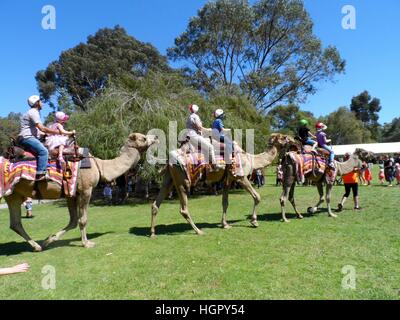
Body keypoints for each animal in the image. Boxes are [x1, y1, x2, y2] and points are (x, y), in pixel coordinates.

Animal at [1, 133, 158, 252]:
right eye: (144, 138)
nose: (156, 136)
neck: (99, 166)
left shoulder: (71, 194)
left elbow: (73, 221)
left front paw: (48, 240)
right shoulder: (85, 190)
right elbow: (83, 220)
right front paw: (87, 243)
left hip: (13, 195)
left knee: (15, 223)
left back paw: (37, 246)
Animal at [150, 133, 294, 238]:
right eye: (283, 137)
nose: (293, 139)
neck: (251, 159)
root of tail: (169, 160)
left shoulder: (227, 181)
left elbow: (225, 203)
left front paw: (225, 224)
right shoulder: (241, 177)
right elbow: (257, 196)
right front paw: (254, 221)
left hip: (169, 178)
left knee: (155, 204)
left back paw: (152, 233)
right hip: (182, 180)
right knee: (183, 209)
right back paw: (198, 231)